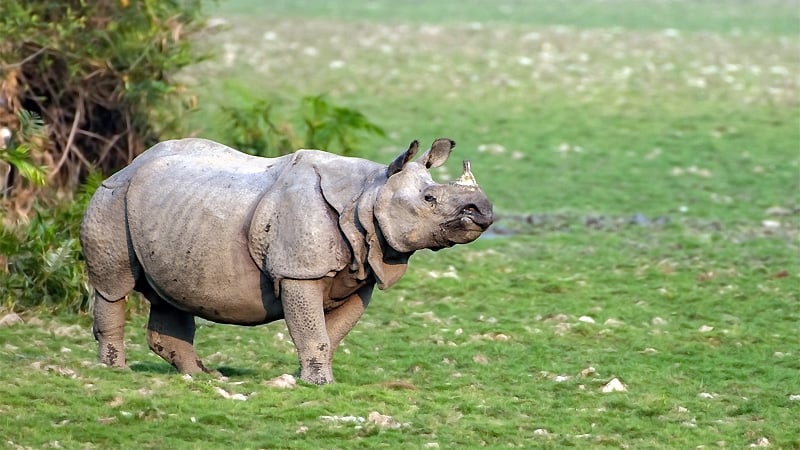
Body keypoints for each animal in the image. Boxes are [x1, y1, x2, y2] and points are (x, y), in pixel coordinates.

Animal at [81, 137, 493, 384]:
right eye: (429, 199)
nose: (484, 211)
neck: (368, 193)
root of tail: (128, 165)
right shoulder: (299, 273)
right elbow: (314, 331)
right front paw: (320, 384)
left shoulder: (361, 276)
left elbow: (331, 334)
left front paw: (309, 378)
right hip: (111, 199)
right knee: (113, 288)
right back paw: (115, 370)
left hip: (168, 212)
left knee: (172, 295)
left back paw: (204, 376)